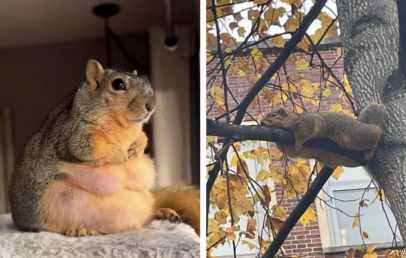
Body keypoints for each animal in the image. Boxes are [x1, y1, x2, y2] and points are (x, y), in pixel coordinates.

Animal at [9, 59, 200, 237]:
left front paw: (138, 147)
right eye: (118, 85)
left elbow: (143, 137)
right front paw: (121, 153)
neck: (122, 126)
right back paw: (79, 230)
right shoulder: (71, 136)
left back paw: (163, 212)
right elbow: (87, 149)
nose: (151, 106)